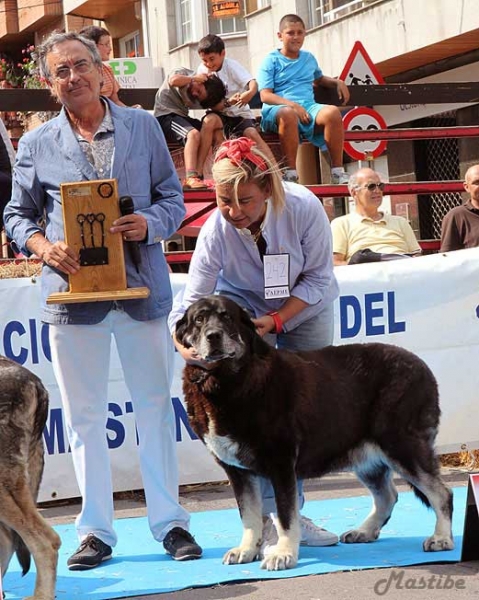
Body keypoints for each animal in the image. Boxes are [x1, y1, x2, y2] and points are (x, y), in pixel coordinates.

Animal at [176, 296, 454, 572]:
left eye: (227, 318)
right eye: (199, 319)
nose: (213, 335)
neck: (227, 381)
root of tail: (423, 367)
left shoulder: (281, 463)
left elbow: (286, 516)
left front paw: (284, 554)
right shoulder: (238, 472)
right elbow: (250, 515)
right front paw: (246, 550)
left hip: (402, 446)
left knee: (441, 493)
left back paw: (441, 538)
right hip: (367, 456)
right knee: (387, 496)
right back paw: (364, 531)